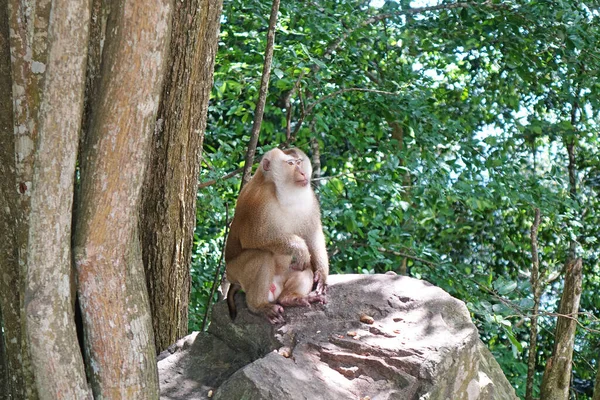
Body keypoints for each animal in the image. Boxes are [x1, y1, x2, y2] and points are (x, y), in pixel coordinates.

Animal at [225, 148, 328, 324]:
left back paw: (291, 298)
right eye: (290, 163)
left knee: (305, 266)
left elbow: (312, 234)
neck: (283, 192)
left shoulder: (310, 198)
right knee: (262, 255)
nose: (302, 172)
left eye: (299, 162)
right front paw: (299, 248)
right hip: (234, 272)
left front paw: (321, 275)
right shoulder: (259, 200)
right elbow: (253, 238)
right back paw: (259, 306)